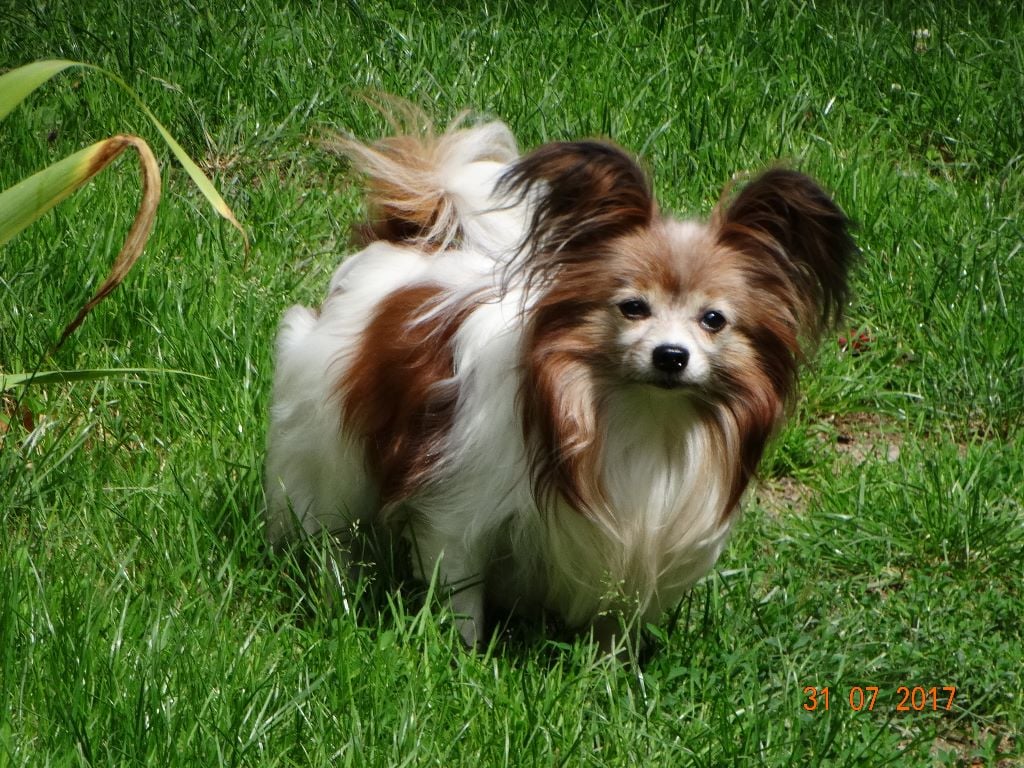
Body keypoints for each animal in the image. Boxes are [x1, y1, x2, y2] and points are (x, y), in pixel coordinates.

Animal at [264, 108, 856, 649]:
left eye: (713, 320)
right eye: (633, 307)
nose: (671, 356)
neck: (638, 417)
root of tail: (411, 244)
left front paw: (610, 672)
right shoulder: (456, 512)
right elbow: (462, 595)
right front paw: (465, 659)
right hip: (328, 445)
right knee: (331, 526)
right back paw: (336, 587)